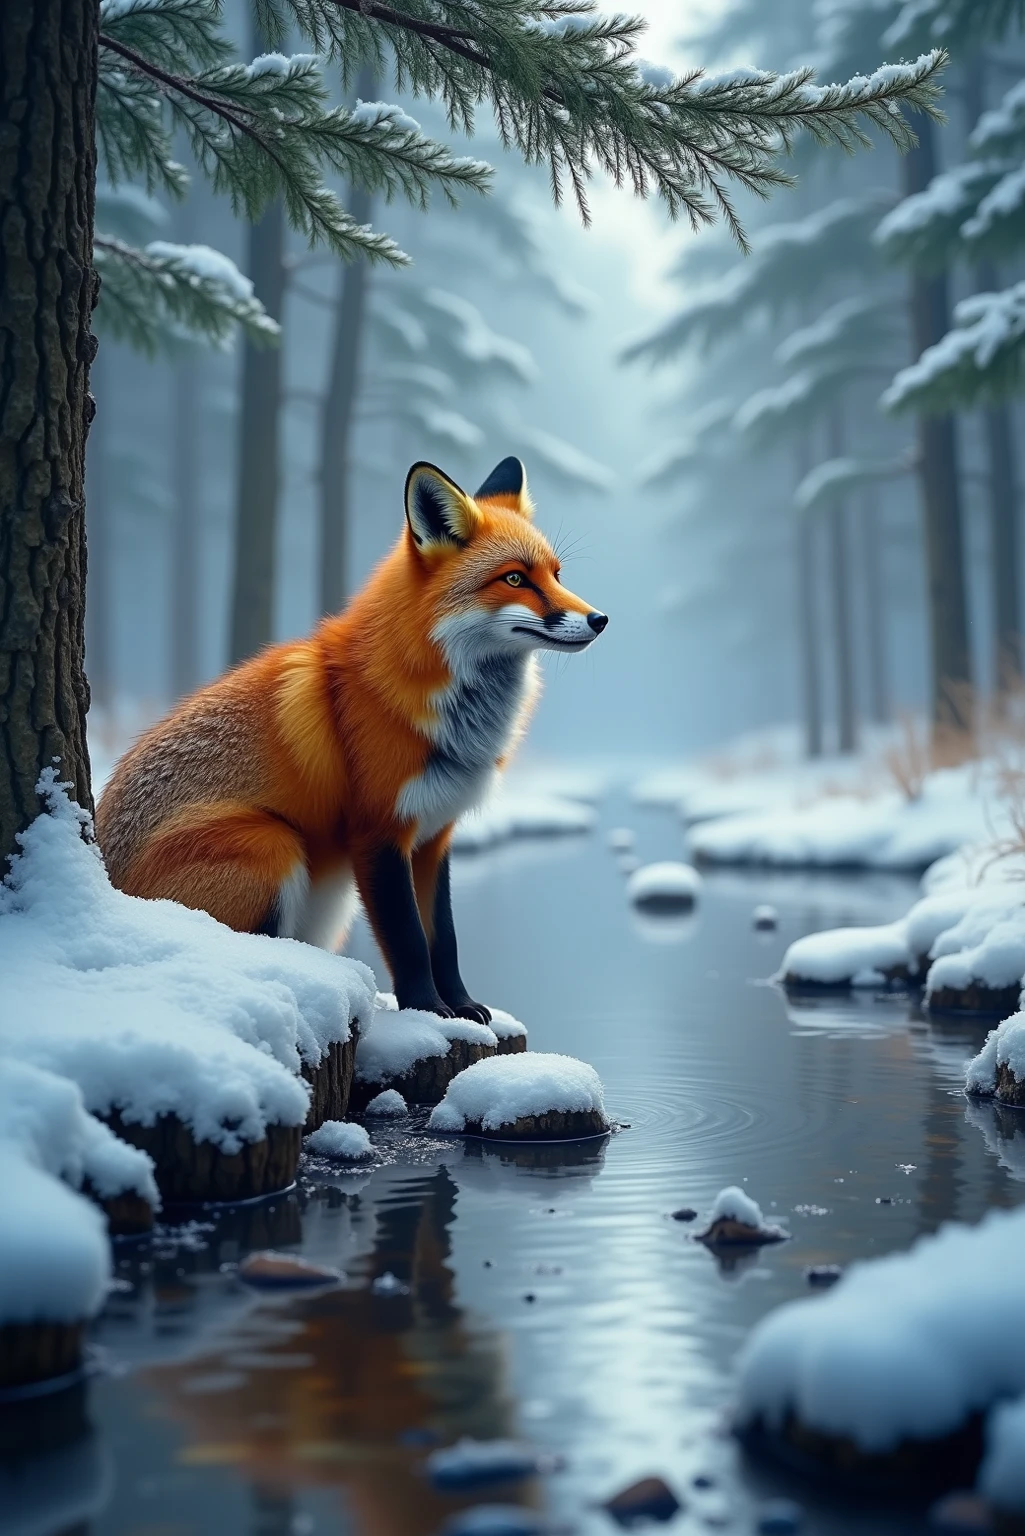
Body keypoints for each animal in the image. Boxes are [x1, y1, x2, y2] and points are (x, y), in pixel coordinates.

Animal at [96, 457, 607, 1024]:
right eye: (515, 578)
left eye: (556, 576)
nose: (600, 619)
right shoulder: (378, 832)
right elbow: (408, 940)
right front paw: (428, 1012)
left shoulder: (434, 836)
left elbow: (444, 938)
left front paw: (463, 1006)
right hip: (271, 843)